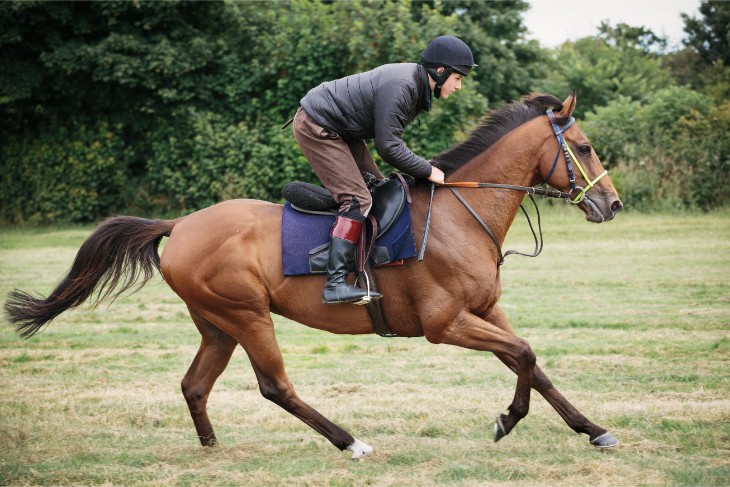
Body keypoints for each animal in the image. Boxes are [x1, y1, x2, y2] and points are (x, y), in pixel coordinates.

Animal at [4, 93, 620, 460]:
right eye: (585, 147)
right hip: (247, 315)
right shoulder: (445, 323)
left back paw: (211, 448)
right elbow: (524, 355)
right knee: (275, 386)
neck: (459, 214)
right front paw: (508, 419)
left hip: (217, 324)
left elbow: (532, 362)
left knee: (194, 385)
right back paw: (351, 442)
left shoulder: (485, 311)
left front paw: (592, 429)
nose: (611, 204)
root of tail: (179, 225)